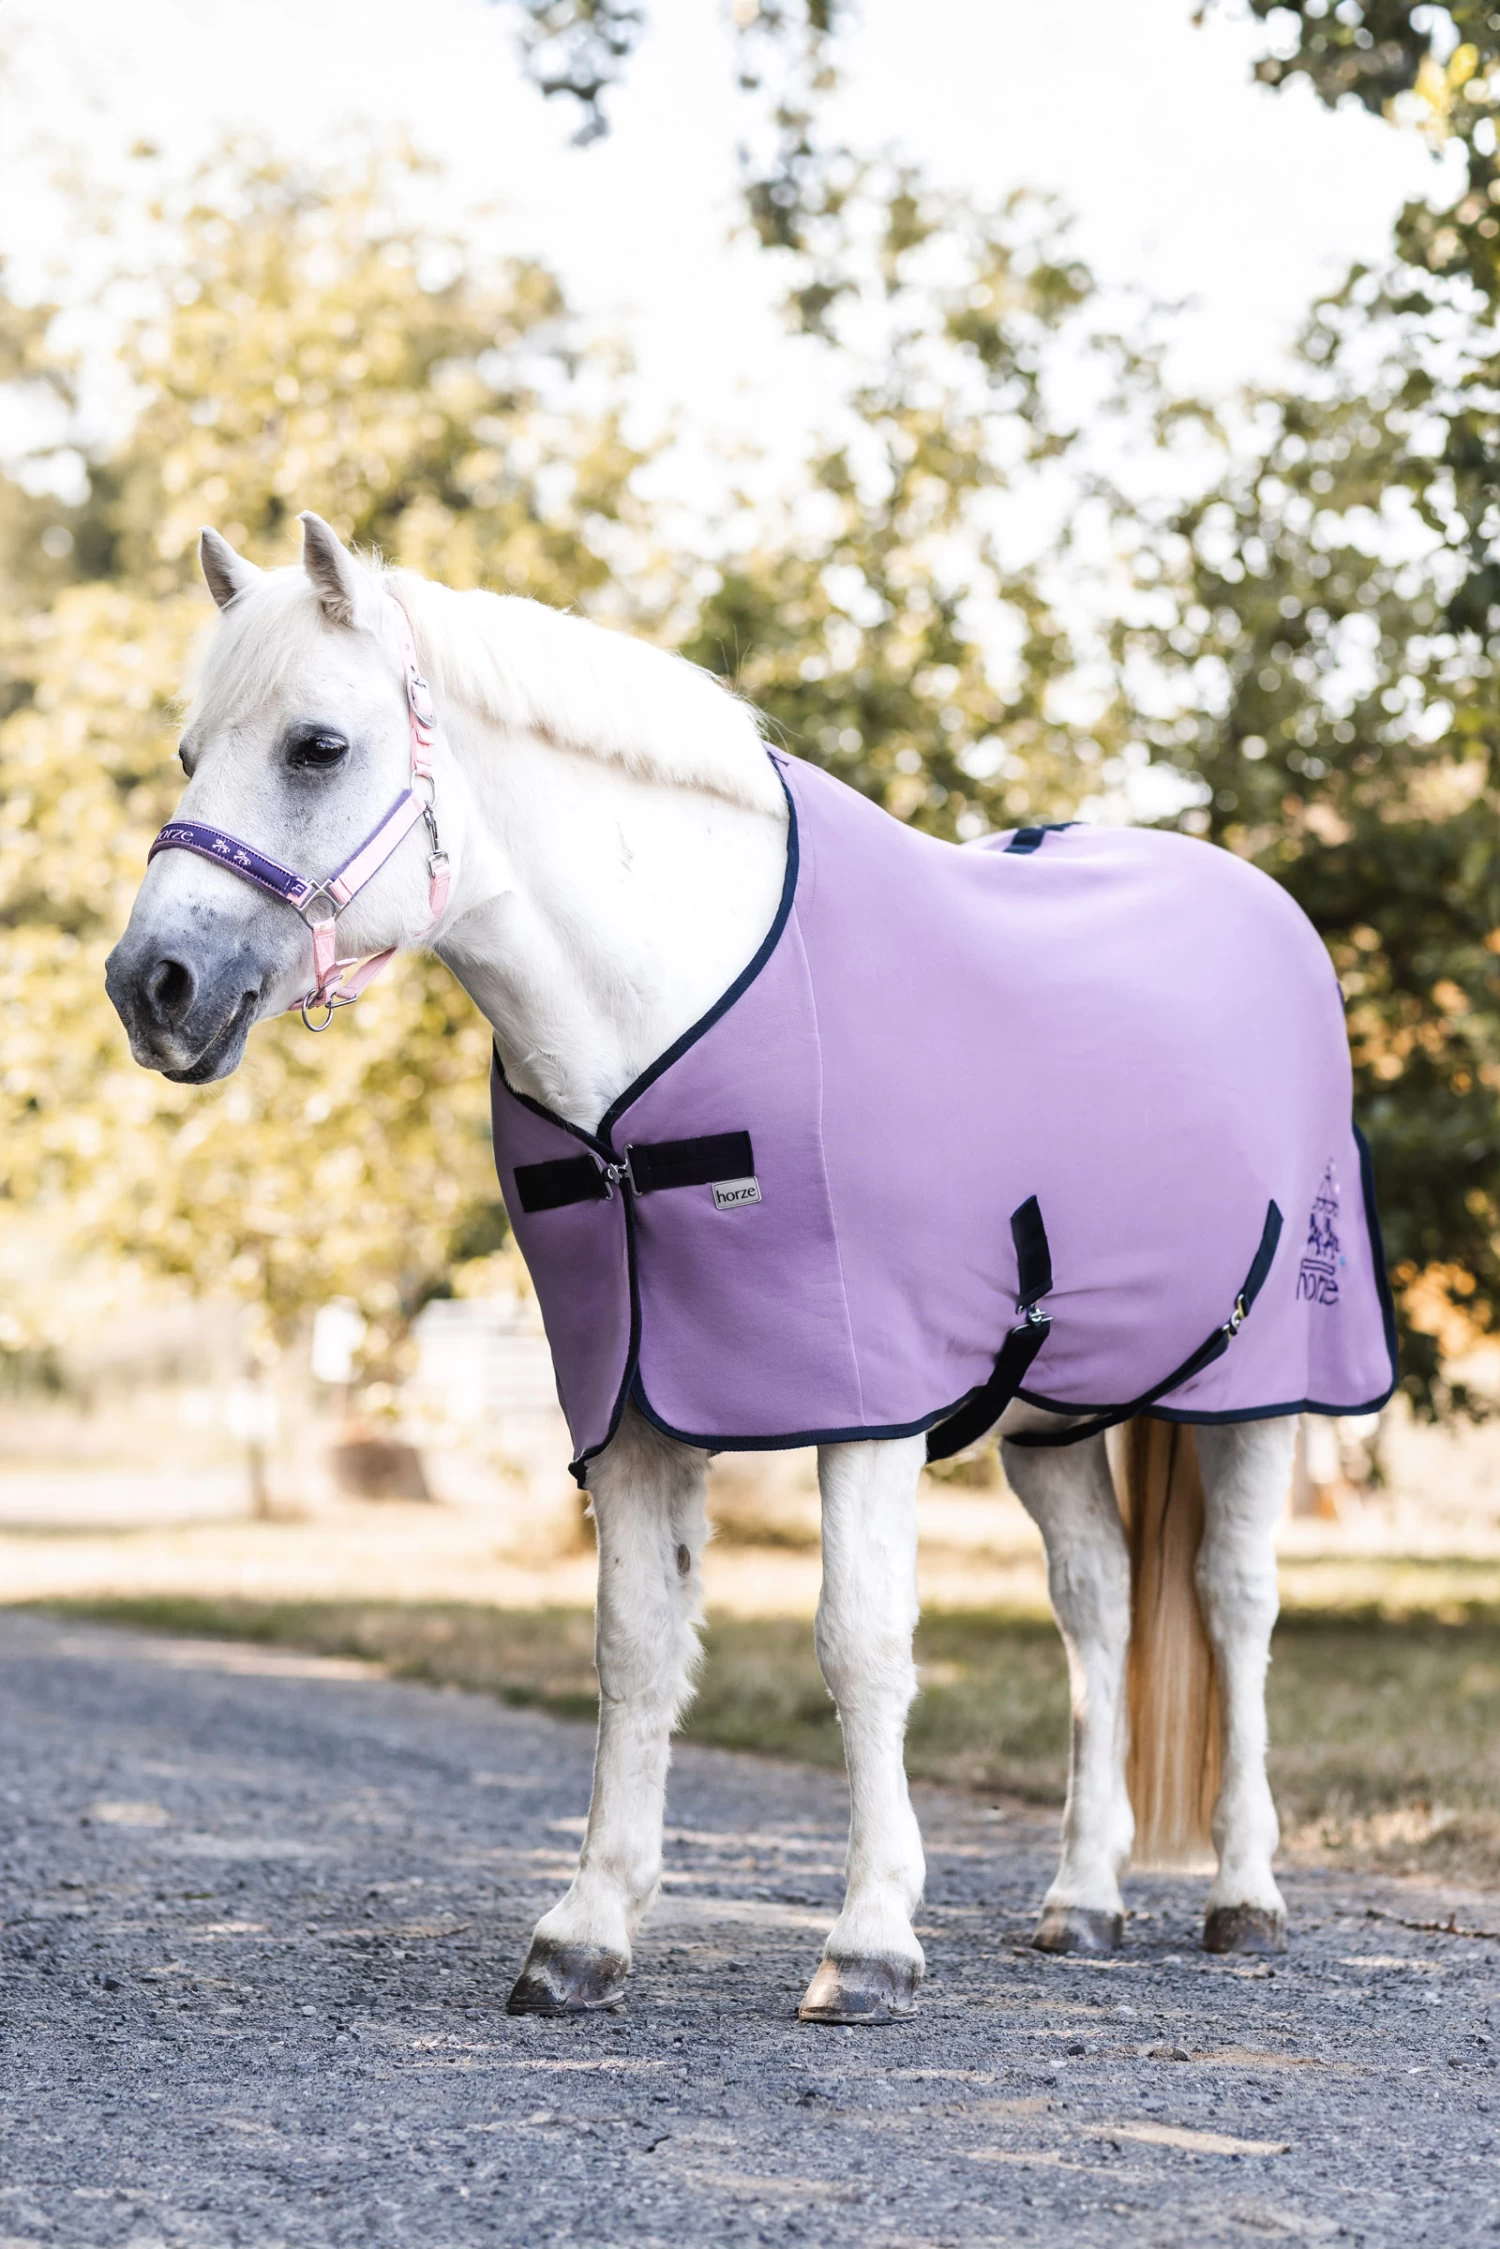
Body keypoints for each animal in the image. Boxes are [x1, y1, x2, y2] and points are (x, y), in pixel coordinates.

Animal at [105, 513, 1396, 2024]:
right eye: (191, 752)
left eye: (318, 745)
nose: (153, 985)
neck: (661, 1028)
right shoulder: (632, 1405)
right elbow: (634, 1646)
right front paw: (585, 1931)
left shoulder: (867, 1403)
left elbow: (861, 1643)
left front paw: (871, 1940)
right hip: (1051, 1420)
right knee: (1100, 1609)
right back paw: (1083, 1901)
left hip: (1261, 1395)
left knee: (1234, 1605)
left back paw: (1247, 1897)